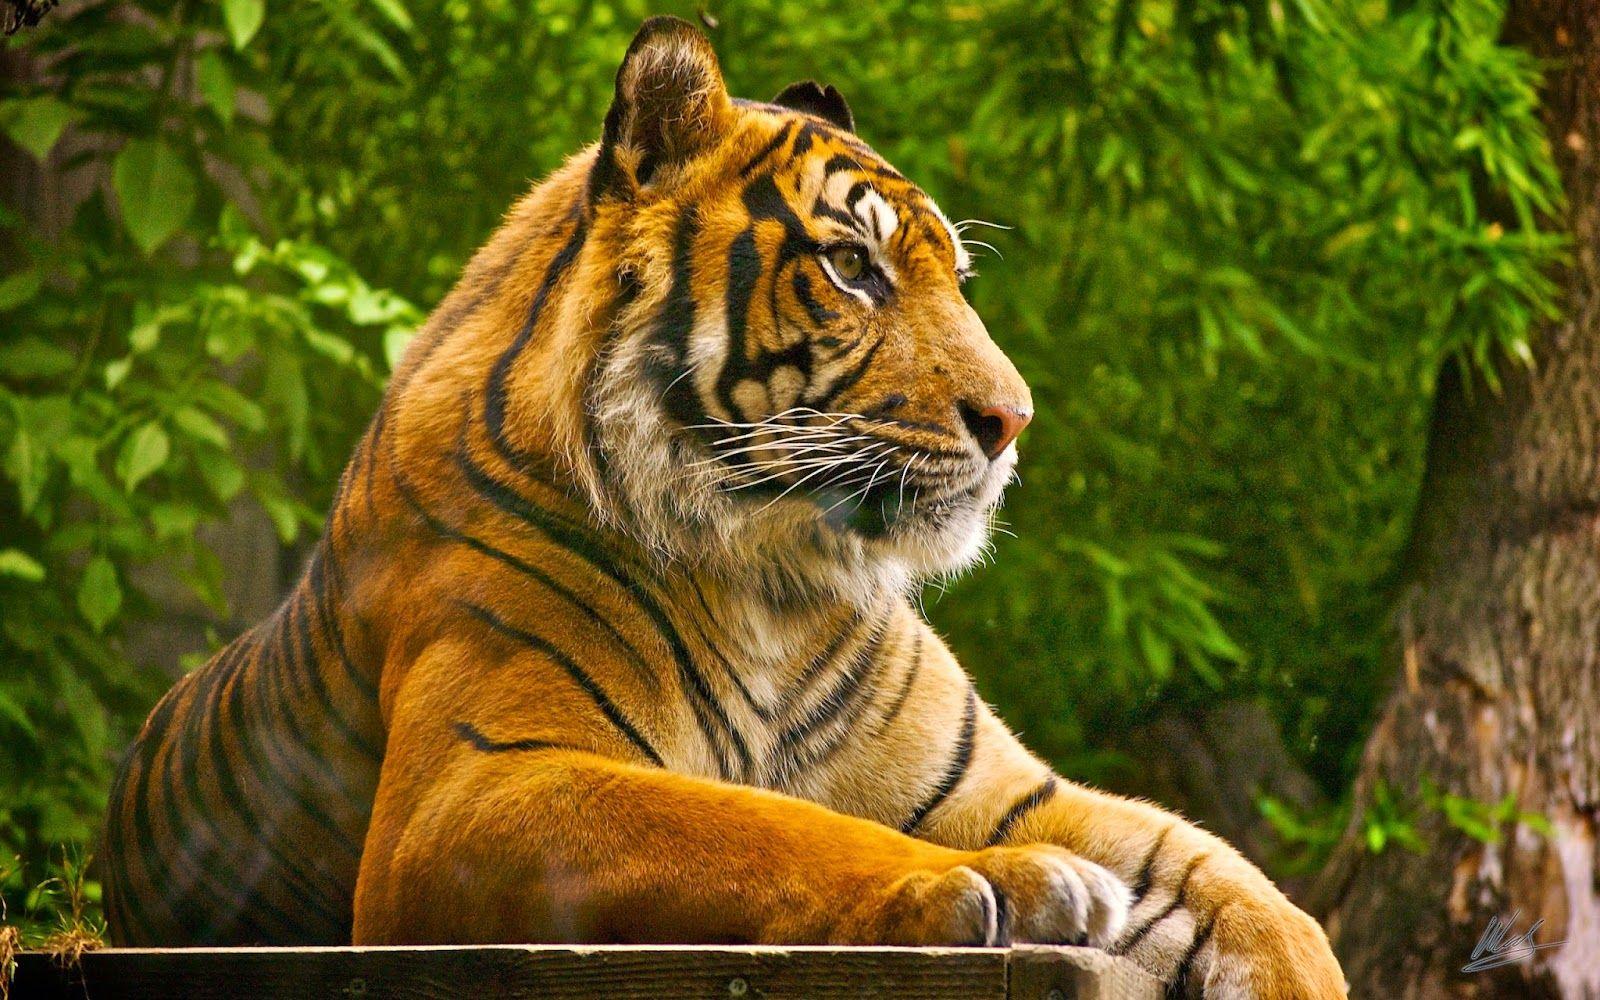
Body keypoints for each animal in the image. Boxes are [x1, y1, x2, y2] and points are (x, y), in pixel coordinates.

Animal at [101, 16, 1346, 998]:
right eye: (852, 268)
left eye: (952, 278)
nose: (1013, 419)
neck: (778, 579)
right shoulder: (473, 787)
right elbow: (765, 823)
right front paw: (986, 882)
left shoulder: (1002, 784)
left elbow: (1232, 878)